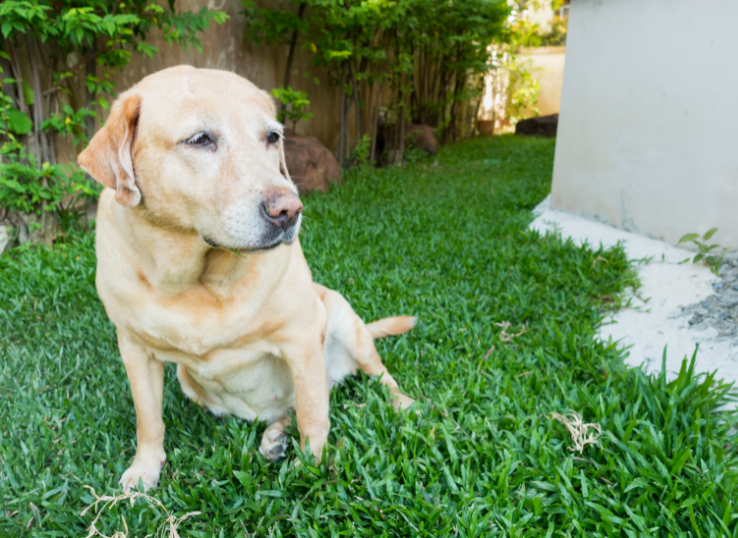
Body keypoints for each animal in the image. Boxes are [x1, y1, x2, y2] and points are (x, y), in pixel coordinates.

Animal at [81, 65, 416, 488]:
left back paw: (405, 405)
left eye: (272, 137)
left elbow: (314, 415)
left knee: (375, 376)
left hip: (345, 324)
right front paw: (144, 470)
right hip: (187, 380)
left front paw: (313, 466)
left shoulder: (301, 339)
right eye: (200, 139)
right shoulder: (134, 349)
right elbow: (148, 420)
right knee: (289, 409)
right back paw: (274, 437)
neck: (195, 279)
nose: (290, 210)